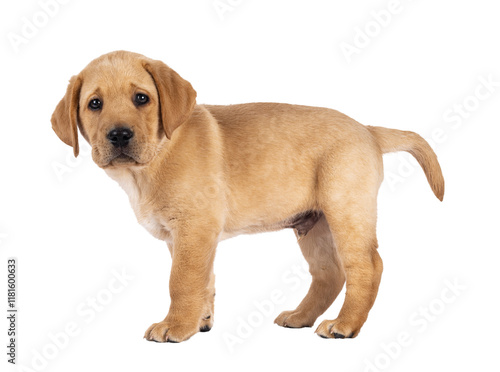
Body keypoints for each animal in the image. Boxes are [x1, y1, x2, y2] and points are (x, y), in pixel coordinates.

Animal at [50, 50, 444, 342]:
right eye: (95, 104)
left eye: (141, 98)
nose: (119, 135)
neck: (152, 161)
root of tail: (367, 130)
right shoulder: (188, 238)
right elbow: (204, 280)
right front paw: (199, 321)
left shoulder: (194, 229)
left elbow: (181, 281)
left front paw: (176, 326)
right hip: (313, 224)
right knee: (329, 273)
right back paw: (300, 316)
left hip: (346, 211)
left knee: (366, 267)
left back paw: (344, 325)